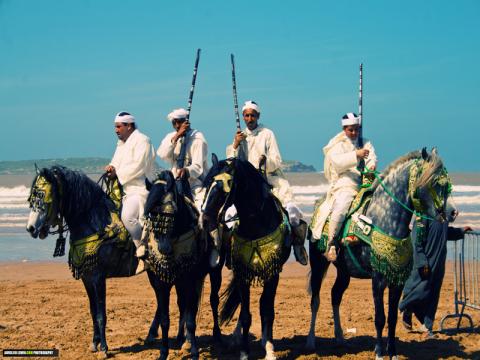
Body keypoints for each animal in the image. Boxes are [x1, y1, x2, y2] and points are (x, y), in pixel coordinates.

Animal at [202, 156, 290, 360]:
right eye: (207, 185)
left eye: (223, 188)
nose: (204, 220)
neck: (257, 223)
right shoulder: (242, 274)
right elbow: (245, 314)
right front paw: (243, 352)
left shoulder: (273, 274)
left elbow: (267, 311)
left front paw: (270, 349)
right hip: (217, 269)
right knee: (216, 299)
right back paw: (224, 337)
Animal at [308, 148, 458, 358]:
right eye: (435, 182)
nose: (453, 212)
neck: (385, 220)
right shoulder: (378, 279)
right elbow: (380, 317)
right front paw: (379, 352)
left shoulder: (397, 280)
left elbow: (392, 317)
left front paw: (392, 352)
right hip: (318, 264)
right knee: (315, 300)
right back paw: (311, 341)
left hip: (344, 272)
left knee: (335, 296)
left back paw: (340, 338)